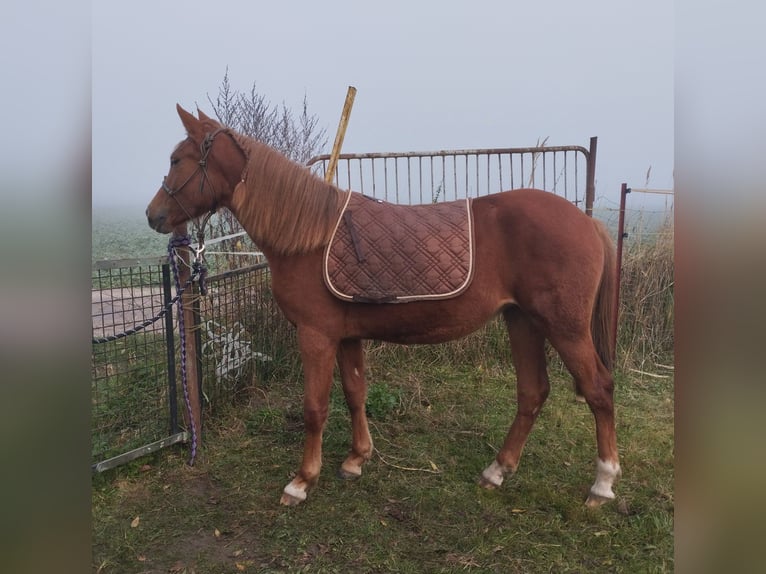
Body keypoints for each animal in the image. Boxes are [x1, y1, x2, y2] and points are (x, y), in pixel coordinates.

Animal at [147, 104, 620, 508]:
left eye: (176, 160)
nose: (154, 215)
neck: (308, 237)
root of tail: (588, 222)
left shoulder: (316, 335)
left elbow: (315, 408)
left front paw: (302, 481)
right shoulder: (346, 335)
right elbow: (355, 393)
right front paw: (357, 459)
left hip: (564, 326)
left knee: (598, 388)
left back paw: (602, 484)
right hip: (522, 320)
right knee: (533, 391)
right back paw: (497, 471)